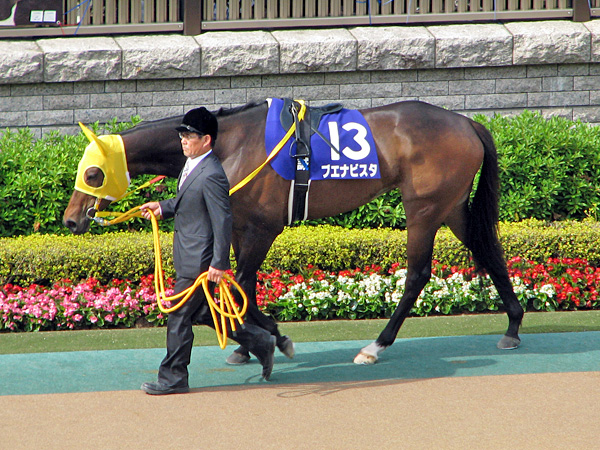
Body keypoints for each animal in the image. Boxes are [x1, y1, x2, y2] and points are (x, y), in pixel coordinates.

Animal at [61, 99, 524, 366]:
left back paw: (375, 346)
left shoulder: (264, 227)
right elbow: (236, 284)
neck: (232, 143)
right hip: (452, 205)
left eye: (93, 173)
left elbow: (242, 285)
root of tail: (466, 123)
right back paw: (513, 326)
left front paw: (275, 338)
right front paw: (248, 344)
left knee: (417, 274)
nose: (71, 219)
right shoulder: (235, 222)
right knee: (489, 250)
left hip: (424, 207)